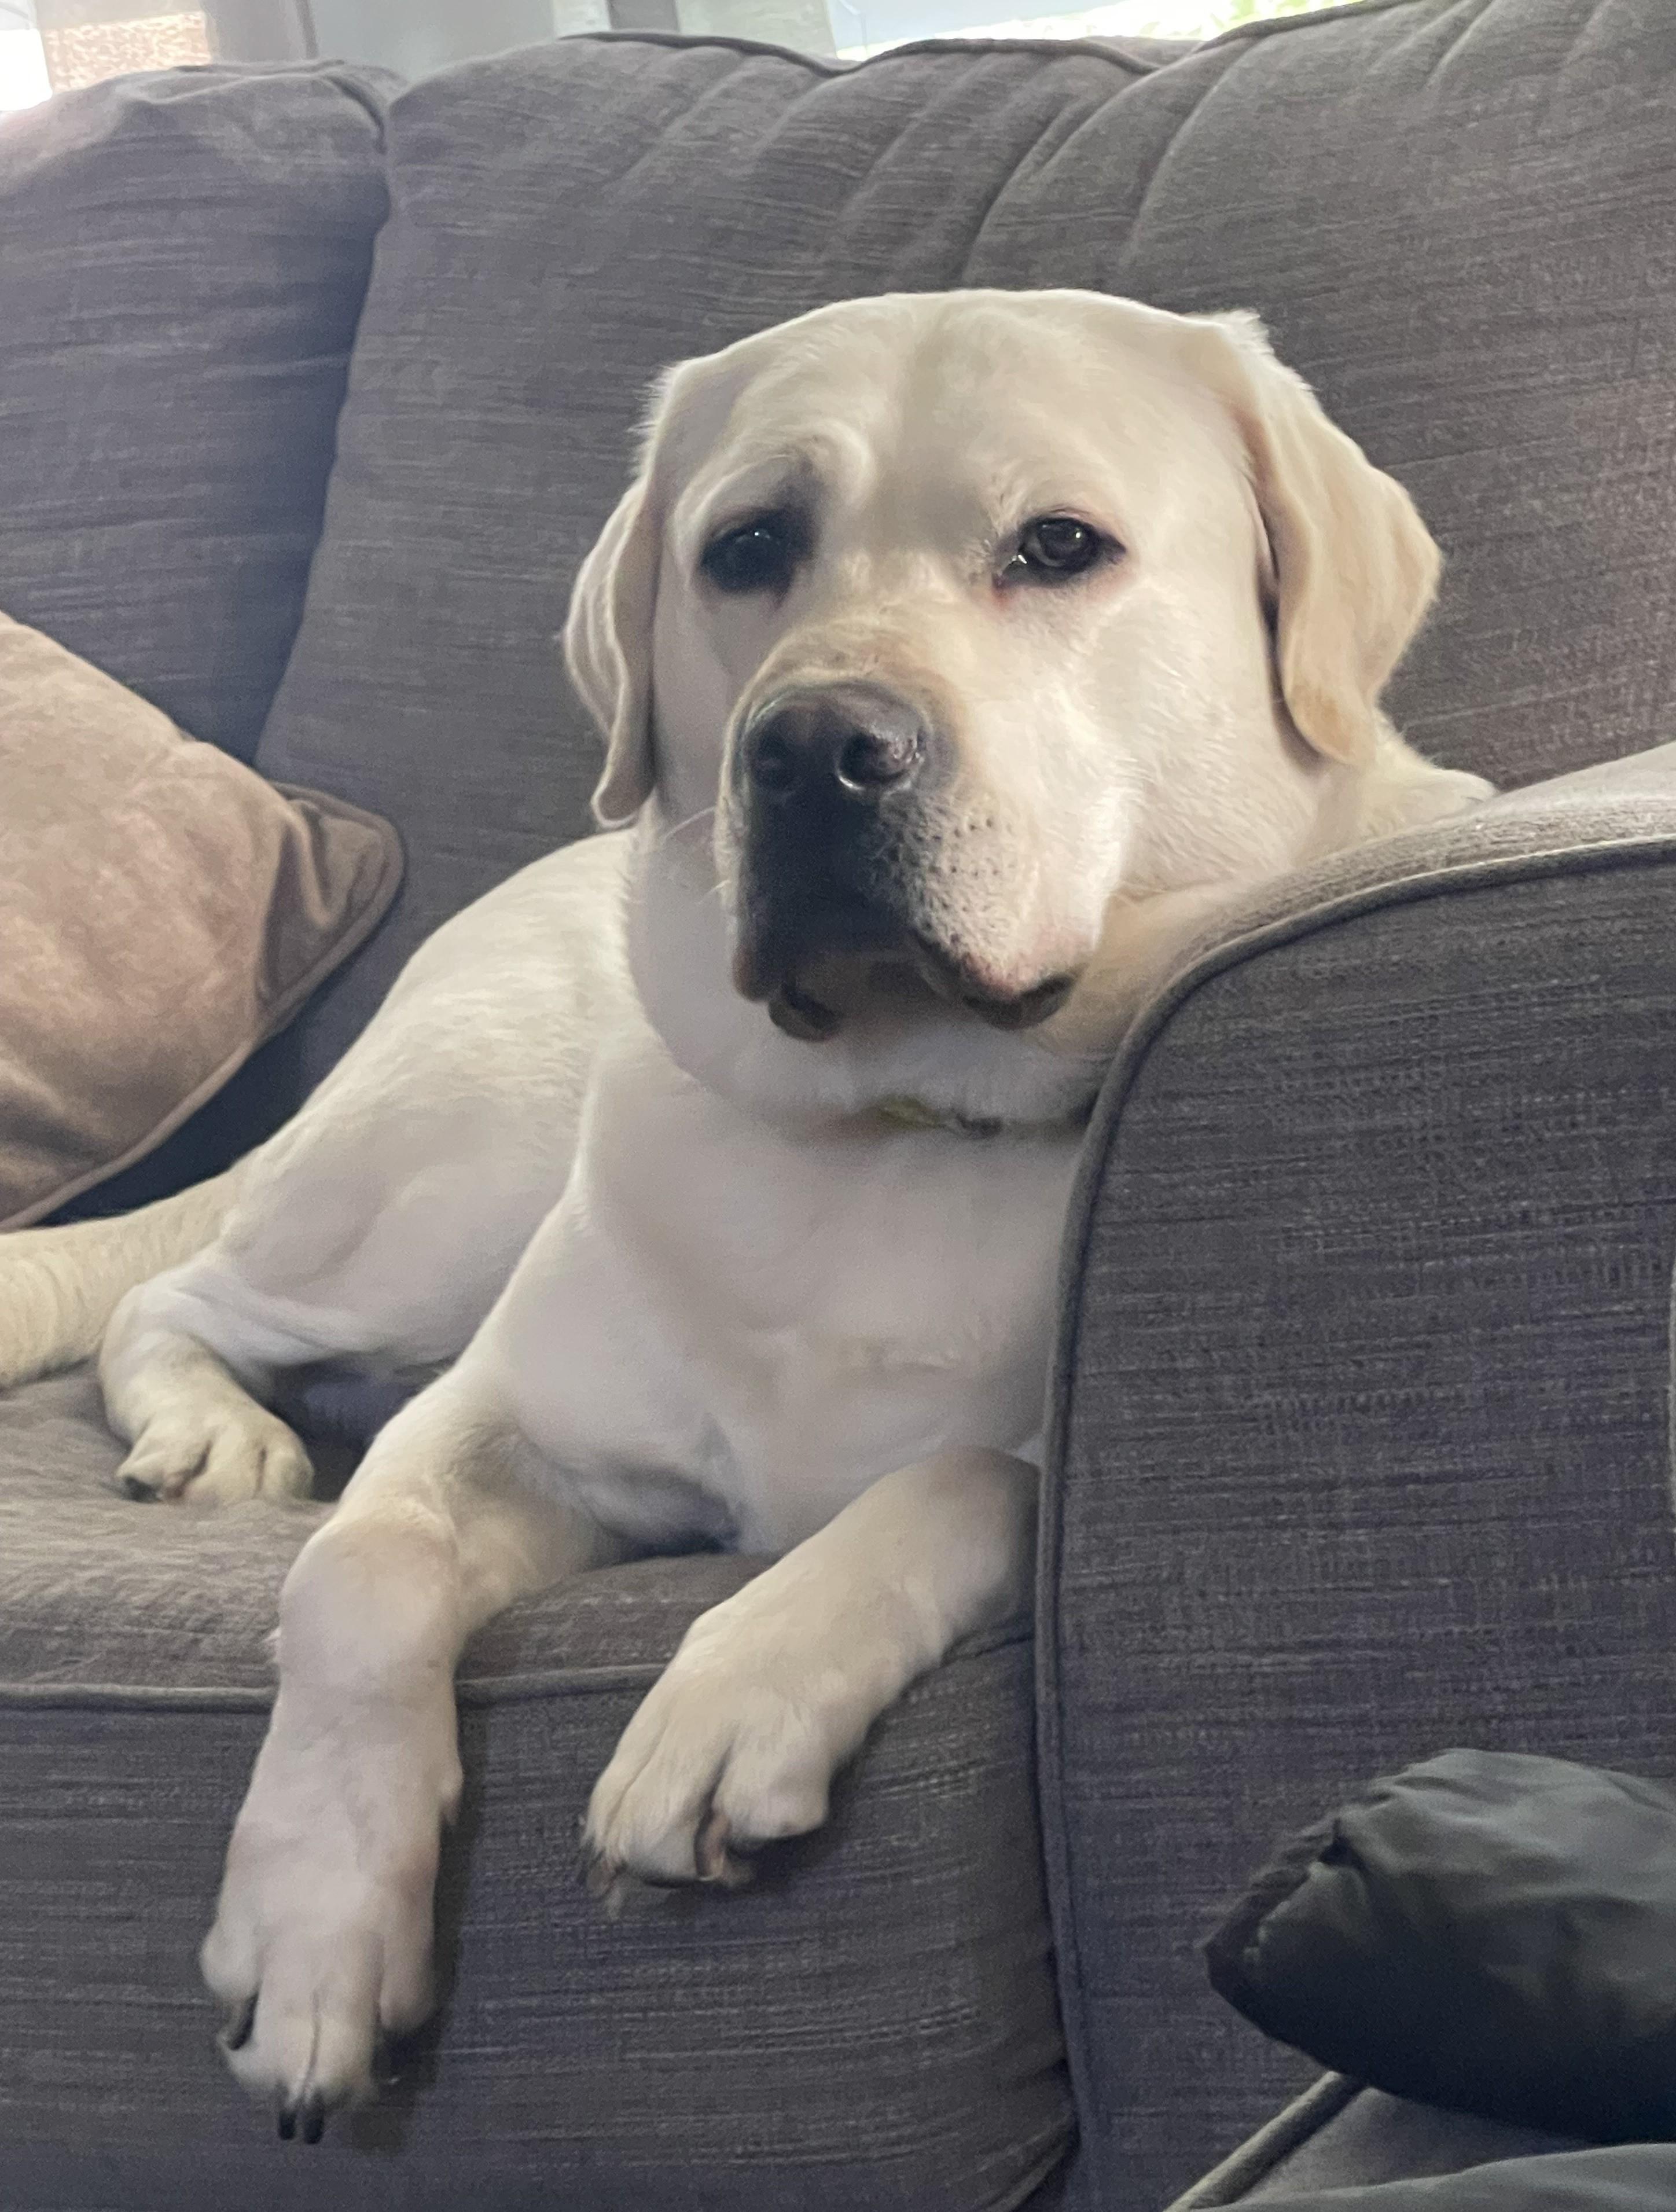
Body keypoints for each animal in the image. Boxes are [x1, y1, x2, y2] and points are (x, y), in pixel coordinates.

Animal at [0, 288, 1491, 2137]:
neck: (896, 1117)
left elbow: (969, 1472)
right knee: (181, 1296)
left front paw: (729, 1690)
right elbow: (359, 1570)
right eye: (749, 548)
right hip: (445, 1192)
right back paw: (210, 1431)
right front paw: (312, 1932)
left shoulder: (995, 1455)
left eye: (1060, 547)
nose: (814, 748)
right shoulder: (504, 1416)